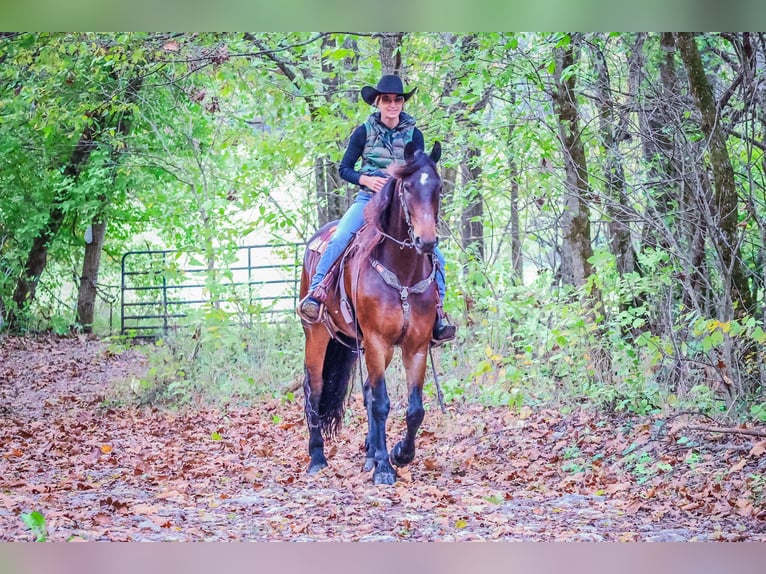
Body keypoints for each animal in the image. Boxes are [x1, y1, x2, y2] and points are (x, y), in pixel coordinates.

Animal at [298, 141, 443, 485]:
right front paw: (385, 469)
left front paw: (398, 454)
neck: (403, 274)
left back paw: (370, 456)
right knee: (314, 389)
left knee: (364, 391)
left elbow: (414, 409)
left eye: (438, 188)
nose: (426, 241)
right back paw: (317, 458)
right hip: (317, 334)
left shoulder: (415, 346)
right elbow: (381, 404)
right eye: (406, 187)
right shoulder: (377, 341)